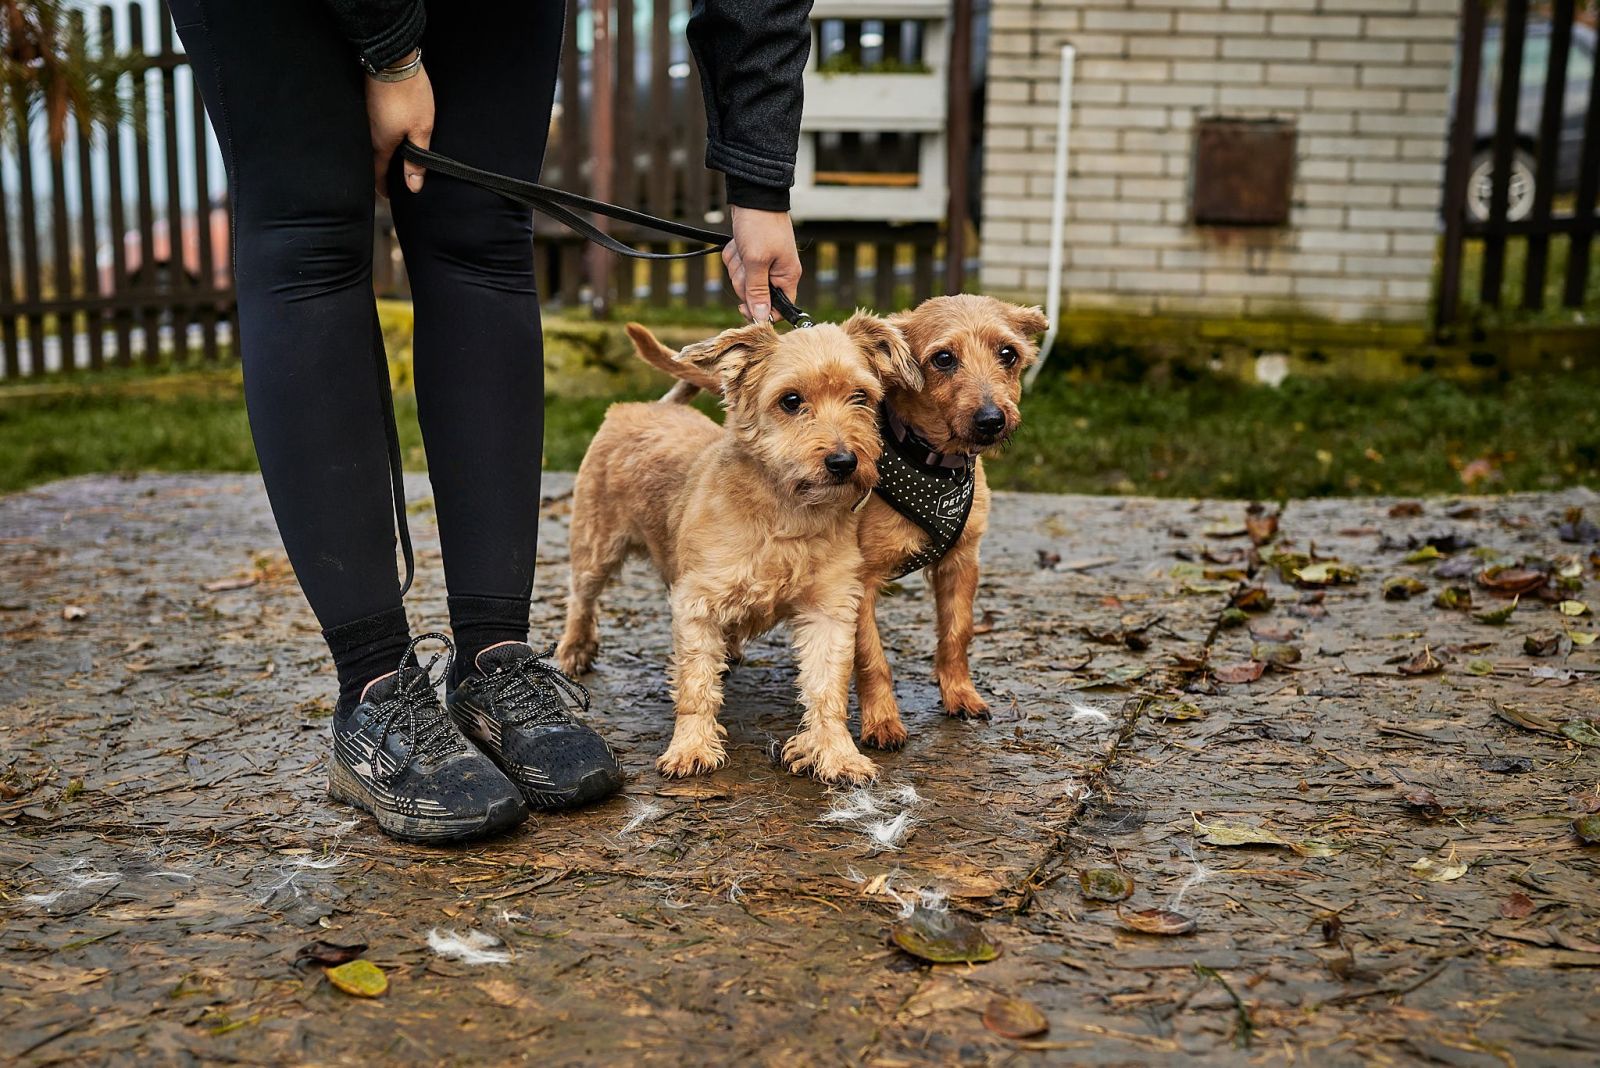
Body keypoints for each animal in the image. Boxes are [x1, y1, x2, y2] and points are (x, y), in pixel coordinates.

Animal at [556, 313, 919, 784]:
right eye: (790, 401)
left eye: (861, 396)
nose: (844, 461)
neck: (786, 511)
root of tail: (651, 406)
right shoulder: (696, 605)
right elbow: (695, 686)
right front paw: (691, 747)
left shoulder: (831, 609)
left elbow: (827, 688)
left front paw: (836, 753)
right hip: (594, 546)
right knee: (581, 598)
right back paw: (573, 650)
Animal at [633, 295, 1047, 750]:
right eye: (943, 358)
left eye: (1008, 354)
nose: (992, 419)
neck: (933, 464)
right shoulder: (857, 582)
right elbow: (870, 659)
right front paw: (882, 721)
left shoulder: (961, 562)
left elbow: (957, 634)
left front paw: (960, 694)